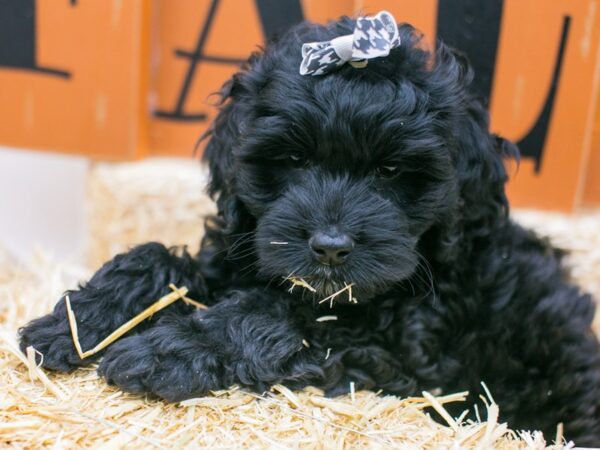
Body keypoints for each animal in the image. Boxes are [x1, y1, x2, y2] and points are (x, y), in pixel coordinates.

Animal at [18, 14, 600, 446]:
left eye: (392, 170)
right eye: (295, 159)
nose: (330, 248)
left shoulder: (398, 352)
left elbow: (274, 314)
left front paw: (167, 352)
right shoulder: (243, 250)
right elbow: (158, 258)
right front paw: (74, 322)